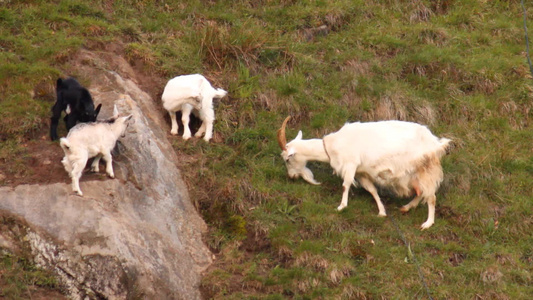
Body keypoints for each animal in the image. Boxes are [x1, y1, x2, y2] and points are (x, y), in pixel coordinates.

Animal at [276, 117, 450, 230]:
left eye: (287, 159)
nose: (291, 177)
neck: (332, 146)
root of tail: (436, 143)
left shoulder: (350, 164)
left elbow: (345, 185)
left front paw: (341, 206)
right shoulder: (361, 173)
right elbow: (372, 190)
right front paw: (381, 212)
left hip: (426, 169)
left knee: (431, 197)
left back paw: (427, 223)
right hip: (415, 175)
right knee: (421, 192)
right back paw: (407, 207)